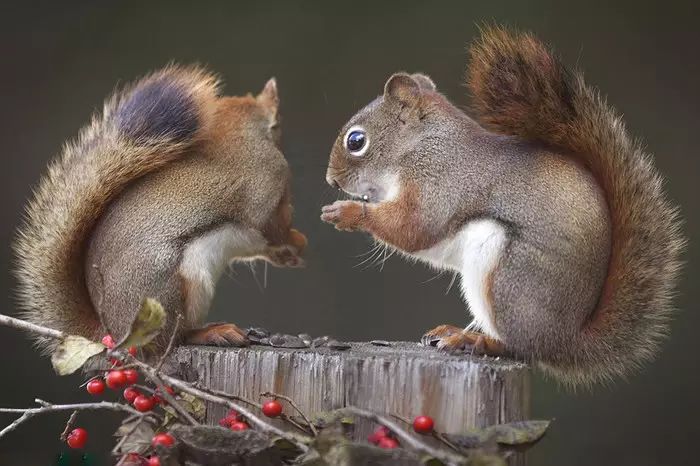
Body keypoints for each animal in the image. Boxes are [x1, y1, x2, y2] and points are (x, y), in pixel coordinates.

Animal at [14, 65, 306, 354]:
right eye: (279, 125)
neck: (241, 131)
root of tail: (114, 333)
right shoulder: (265, 192)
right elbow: (273, 229)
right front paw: (298, 243)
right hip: (174, 288)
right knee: (172, 340)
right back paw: (212, 332)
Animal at [322, 26, 684, 386]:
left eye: (356, 141)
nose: (331, 180)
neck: (421, 144)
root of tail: (565, 340)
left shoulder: (439, 180)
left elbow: (415, 226)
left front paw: (347, 212)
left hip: (508, 276)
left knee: (520, 348)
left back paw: (475, 340)